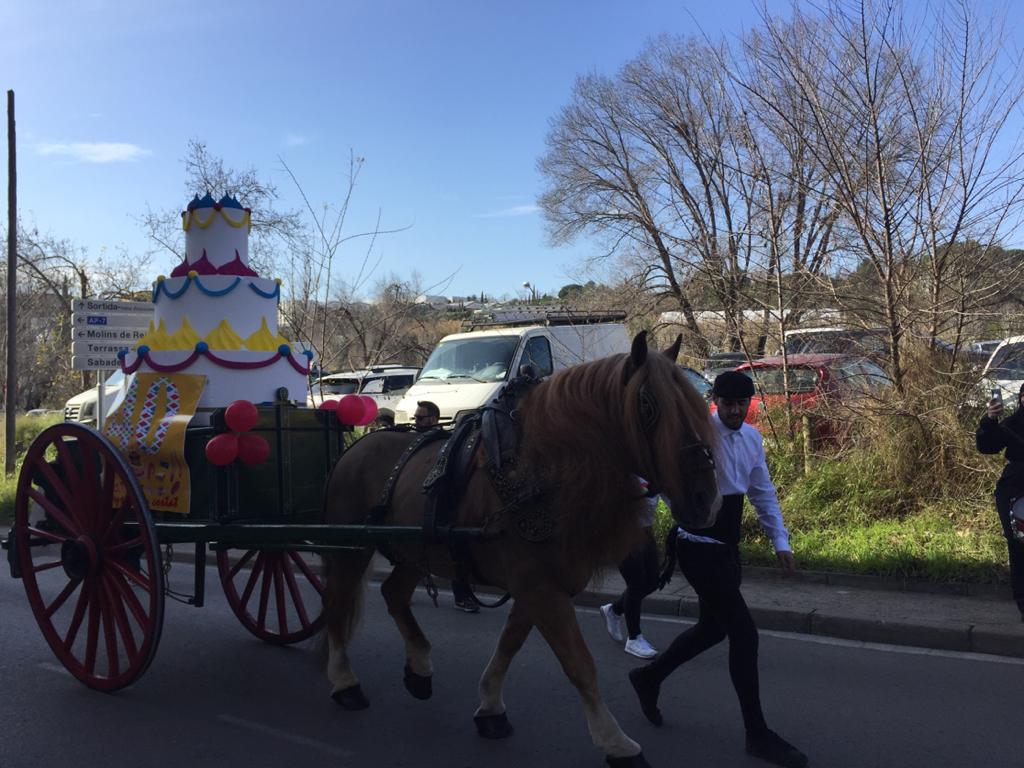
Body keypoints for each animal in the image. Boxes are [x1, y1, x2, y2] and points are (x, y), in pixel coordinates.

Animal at [319, 331, 720, 768]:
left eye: (698, 404)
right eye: (648, 406)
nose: (705, 499)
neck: (545, 469)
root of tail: (353, 449)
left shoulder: (541, 586)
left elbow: (510, 643)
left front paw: (490, 707)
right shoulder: (539, 587)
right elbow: (579, 664)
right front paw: (616, 742)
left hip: (417, 551)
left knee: (393, 593)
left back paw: (419, 667)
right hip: (350, 548)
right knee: (337, 606)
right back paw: (344, 682)